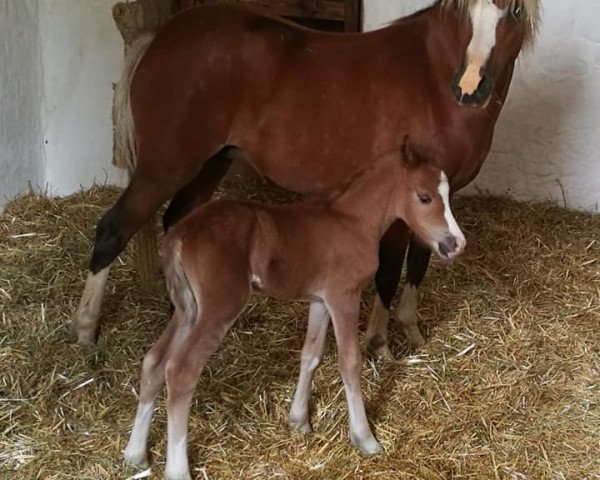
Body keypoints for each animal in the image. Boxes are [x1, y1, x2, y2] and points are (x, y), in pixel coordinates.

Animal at [70, 0, 540, 352]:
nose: (470, 88)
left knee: (176, 224)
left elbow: (420, 264)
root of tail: (161, 37)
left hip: (210, 164)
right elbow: (389, 271)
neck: (432, 75)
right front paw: (378, 345)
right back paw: (86, 331)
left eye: (515, 9)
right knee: (114, 229)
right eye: (466, 11)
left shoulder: (441, 198)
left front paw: (413, 334)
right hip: (164, 168)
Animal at [124, 141, 466, 478]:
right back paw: (177, 469)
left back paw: (135, 454)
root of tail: (181, 233)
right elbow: (349, 362)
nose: (457, 244)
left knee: (154, 361)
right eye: (424, 197)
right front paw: (365, 438)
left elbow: (310, 355)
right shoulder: (344, 296)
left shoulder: (320, 301)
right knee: (181, 371)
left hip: (188, 309)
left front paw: (299, 420)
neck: (353, 221)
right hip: (218, 308)